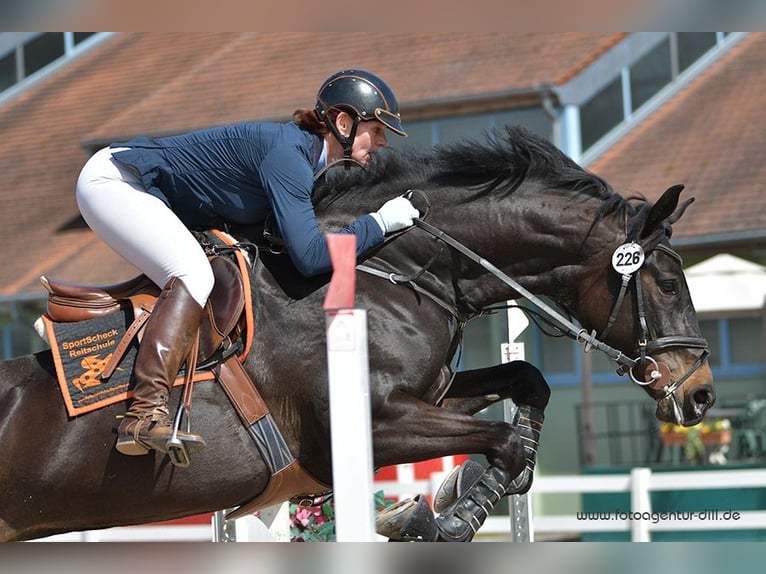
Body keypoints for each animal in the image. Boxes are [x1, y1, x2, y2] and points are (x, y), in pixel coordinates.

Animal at [0, 127, 716, 544]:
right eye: (667, 283)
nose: (702, 394)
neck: (394, 268)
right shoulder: (371, 421)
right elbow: (505, 440)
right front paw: (444, 513)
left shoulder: (429, 396)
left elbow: (525, 383)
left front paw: (452, 501)